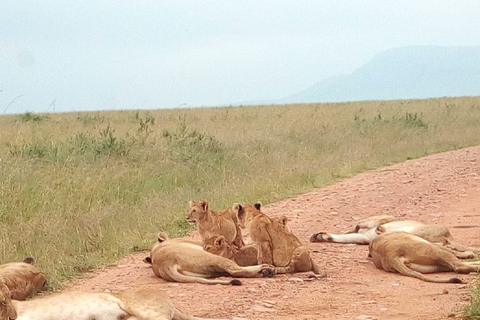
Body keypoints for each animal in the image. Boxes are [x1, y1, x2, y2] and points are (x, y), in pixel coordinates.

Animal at [144, 232, 276, 284]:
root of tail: (165, 265)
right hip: (212, 258)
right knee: (235, 270)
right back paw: (266, 268)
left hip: (207, 272)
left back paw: (265, 271)